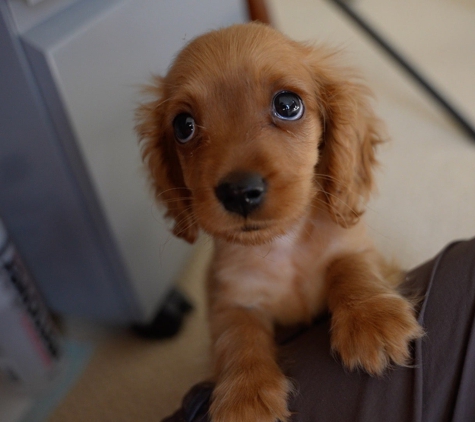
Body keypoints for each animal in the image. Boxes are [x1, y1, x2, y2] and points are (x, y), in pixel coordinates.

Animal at [138, 23, 424, 422]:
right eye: (184, 126)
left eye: (288, 105)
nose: (239, 192)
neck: (282, 245)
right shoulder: (229, 299)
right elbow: (237, 335)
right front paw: (245, 394)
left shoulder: (357, 247)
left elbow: (350, 266)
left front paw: (371, 319)